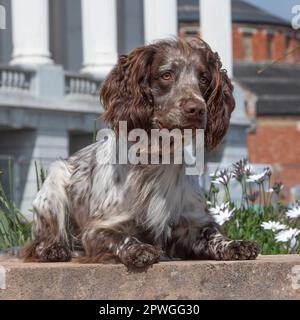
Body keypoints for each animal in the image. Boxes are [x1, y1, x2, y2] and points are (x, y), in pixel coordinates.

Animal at [21, 38, 260, 268]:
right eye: (166, 75)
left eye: (203, 79)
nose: (197, 109)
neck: (156, 158)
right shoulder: (99, 228)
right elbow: (122, 237)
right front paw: (139, 250)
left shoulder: (190, 223)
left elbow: (214, 235)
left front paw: (236, 244)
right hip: (54, 182)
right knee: (42, 240)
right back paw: (52, 248)